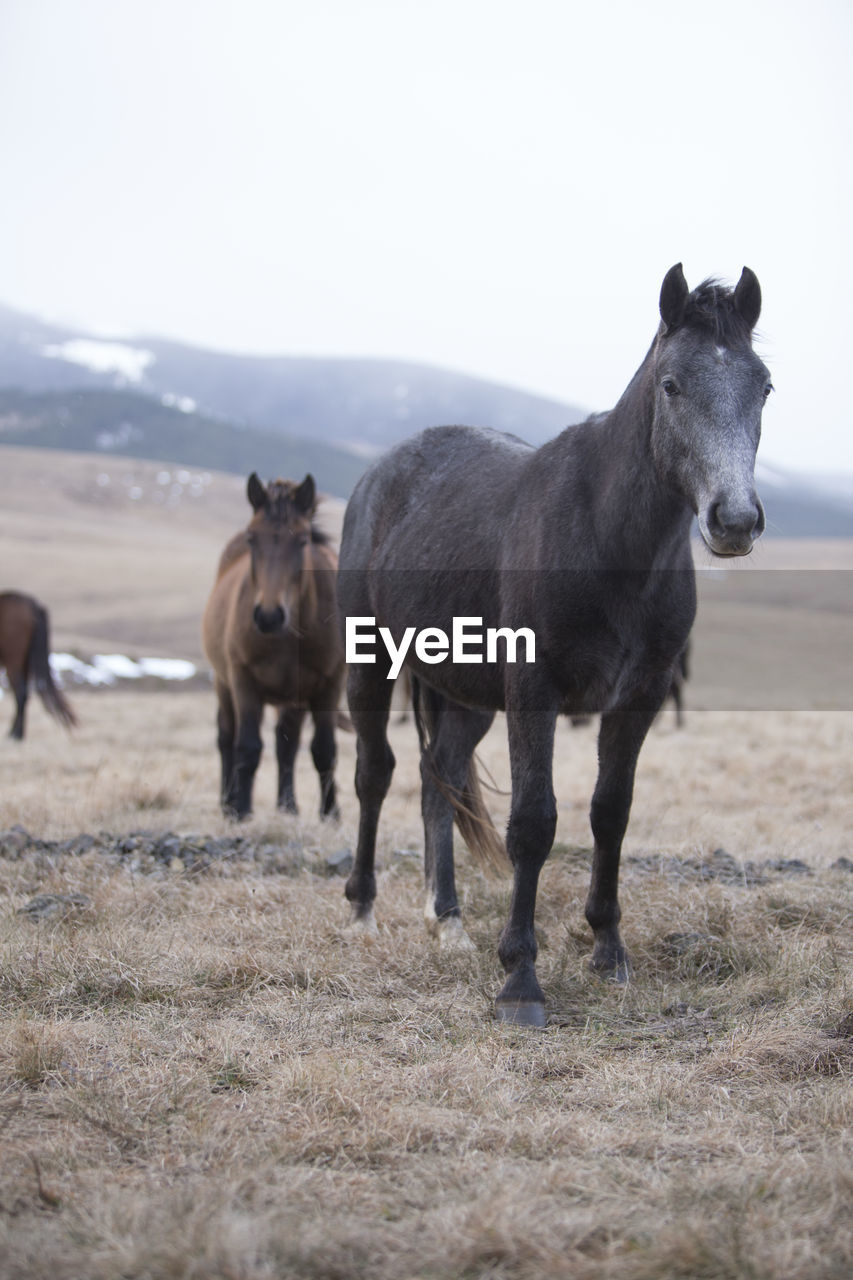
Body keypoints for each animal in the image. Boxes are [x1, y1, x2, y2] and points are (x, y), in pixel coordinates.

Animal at [201, 473, 343, 819]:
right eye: (253, 539)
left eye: (303, 540)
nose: (268, 616)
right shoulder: (243, 681)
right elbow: (247, 746)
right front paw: (241, 811)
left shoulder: (329, 685)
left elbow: (323, 749)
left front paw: (330, 814)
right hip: (224, 684)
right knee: (227, 736)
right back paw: (229, 802)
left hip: (293, 698)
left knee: (286, 743)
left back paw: (287, 806)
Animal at [335, 264, 768, 1024]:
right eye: (671, 385)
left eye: (764, 385)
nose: (735, 520)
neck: (606, 537)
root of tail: (381, 473)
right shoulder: (534, 691)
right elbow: (533, 823)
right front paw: (520, 978)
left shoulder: (638, 697)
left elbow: (610, 812)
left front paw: (608, 949)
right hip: (372, 663)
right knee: (374, 774)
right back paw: (362, 911)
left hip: (466, 694)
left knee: (438, 778)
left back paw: (447, 922)